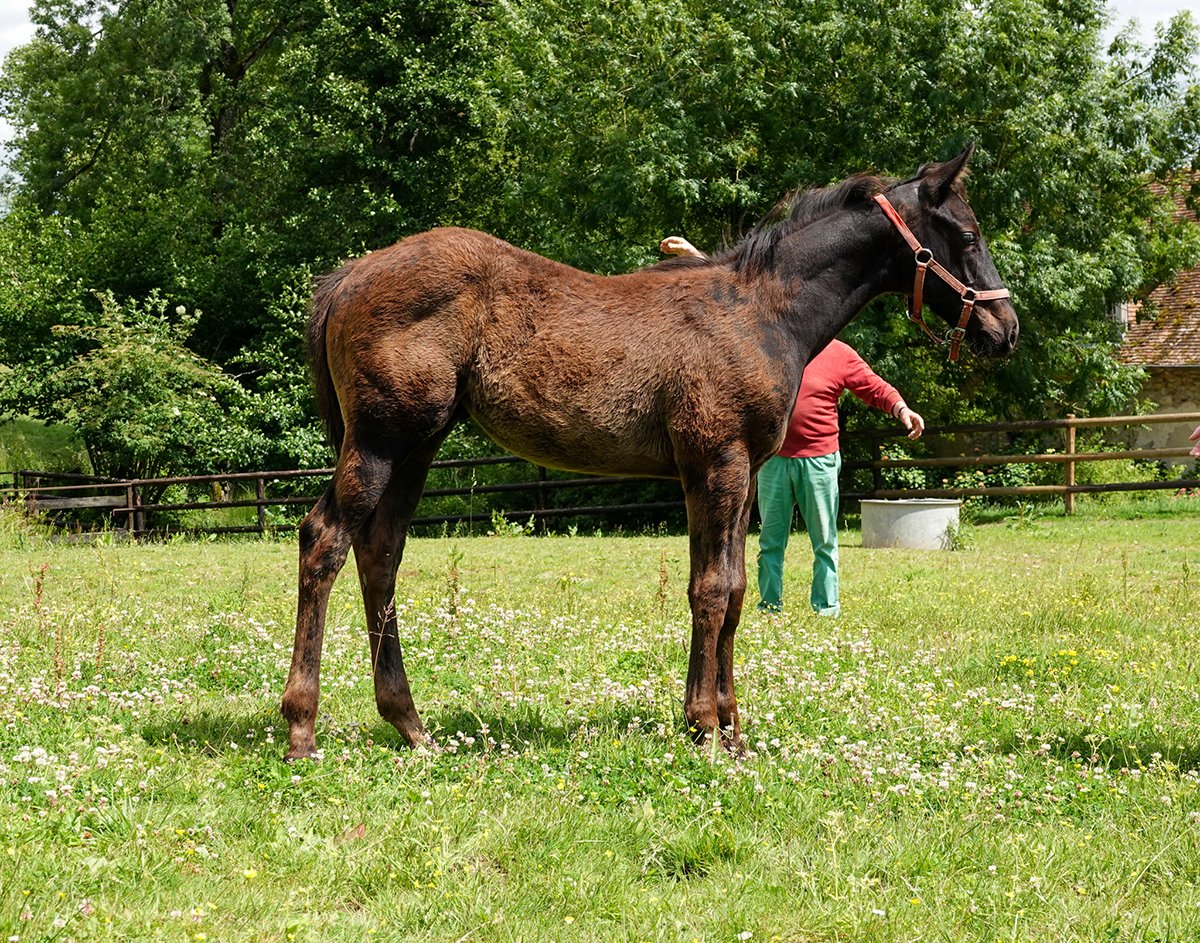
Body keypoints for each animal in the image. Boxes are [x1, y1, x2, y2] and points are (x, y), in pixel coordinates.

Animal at [281, 144, 1019, 760]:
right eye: (969, 236)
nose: (1005, 329)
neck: (762, 313)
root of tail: (348, 277)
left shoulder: (741, 475)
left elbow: (737, 589)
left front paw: (731, 730)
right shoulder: (716, 465)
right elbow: (711, 590)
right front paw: (704, 728)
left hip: (419, 445)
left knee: (381, 553)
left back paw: (411, 725)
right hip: (383, 438)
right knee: (325, 539)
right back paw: (301, 728)